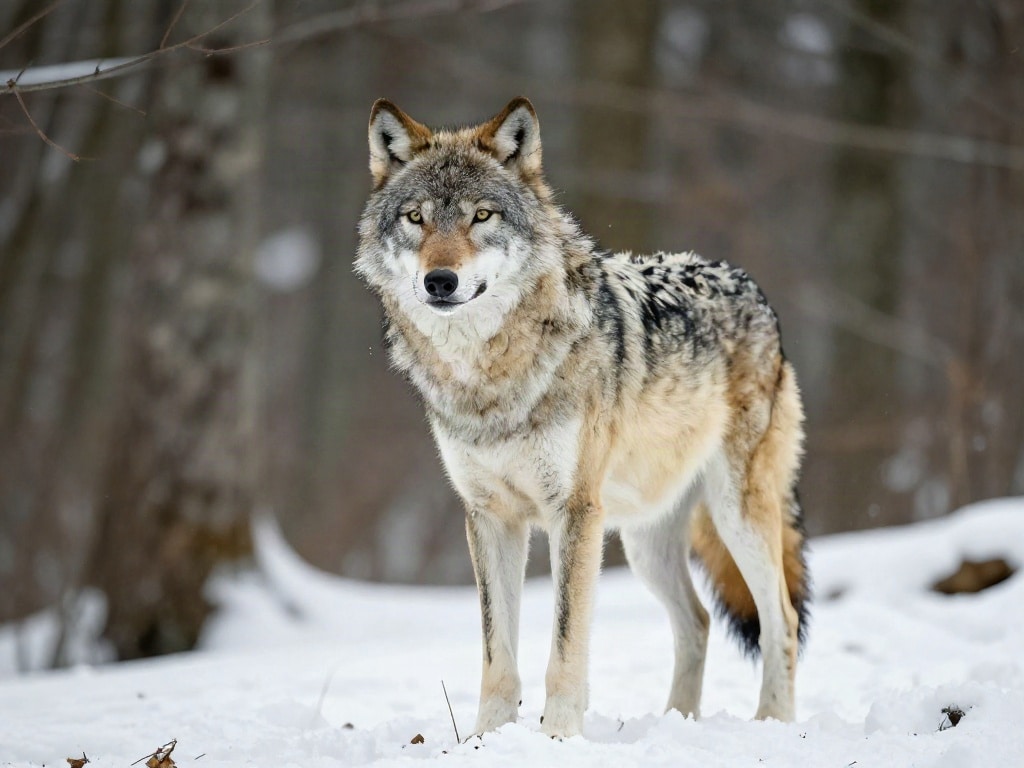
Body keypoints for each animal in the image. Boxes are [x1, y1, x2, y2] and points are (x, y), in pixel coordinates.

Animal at [356, 97, 810, 739]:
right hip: (643, 540)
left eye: (481, 216)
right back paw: (675, 723)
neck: (490, 381)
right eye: (416, 218)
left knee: (782, 621)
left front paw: (558, 737)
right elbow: (498, 654)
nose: (439, 281)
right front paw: (487, 739)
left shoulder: (571, 513)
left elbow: (565, 645)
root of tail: (750, 286)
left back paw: (770, 722)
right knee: (697, 621)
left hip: (734, 514)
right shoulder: (490, 517)